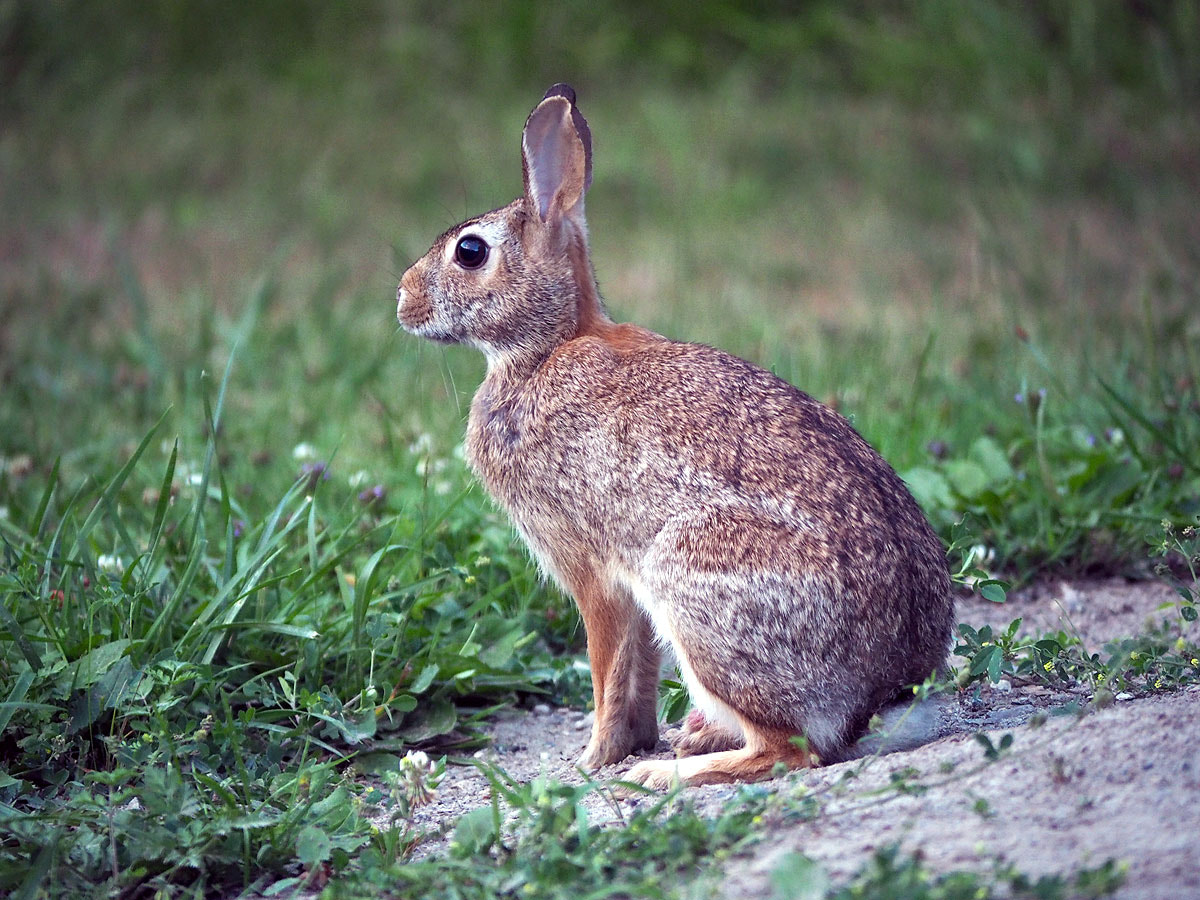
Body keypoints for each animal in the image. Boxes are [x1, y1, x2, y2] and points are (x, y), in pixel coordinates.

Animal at [398, 84, 950, 787]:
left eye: (470, 252)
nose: (401, 299)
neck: (545, 348)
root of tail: (888, 691)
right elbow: (635, 674)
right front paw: (628, 745)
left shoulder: (593, 568)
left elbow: (607, 667)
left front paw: (595, 760)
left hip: (692, 589)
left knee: (789, 750)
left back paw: (665, 774)